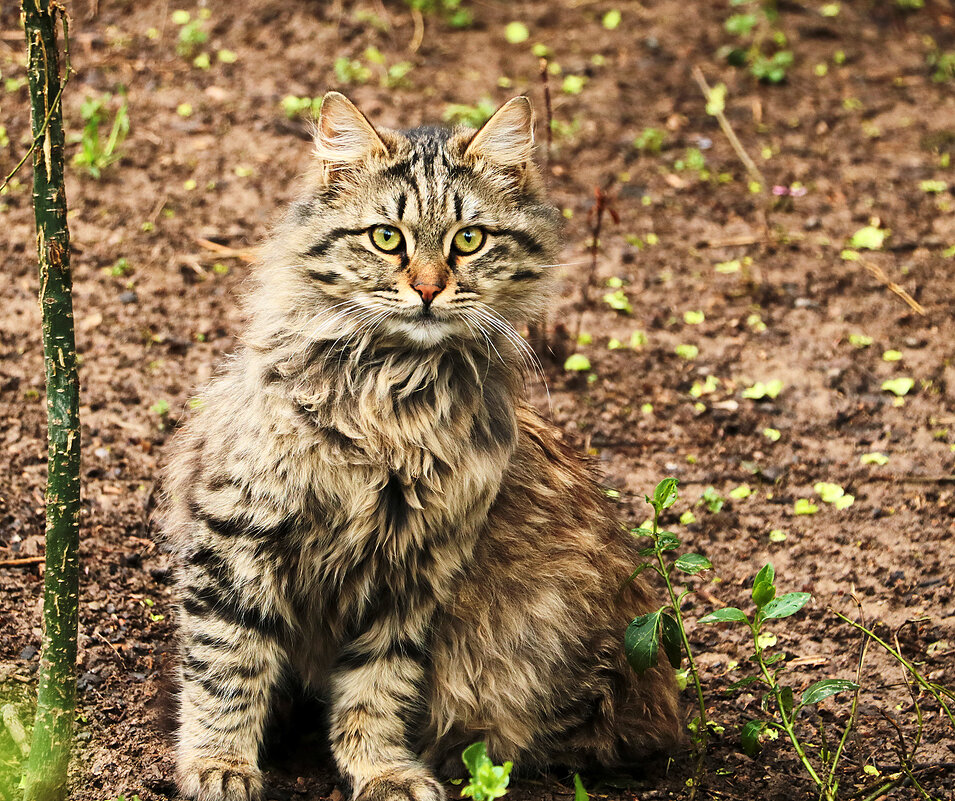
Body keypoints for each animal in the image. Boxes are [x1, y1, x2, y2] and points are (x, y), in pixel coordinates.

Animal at [161, 90, 684, 796]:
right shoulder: (240, 532)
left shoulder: (417, 566)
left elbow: (377, 687)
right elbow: (226, 666)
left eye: (469, 240)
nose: (430, 289)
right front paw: (219, 763)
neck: (395, 394)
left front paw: (381, 770)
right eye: (388, 238)